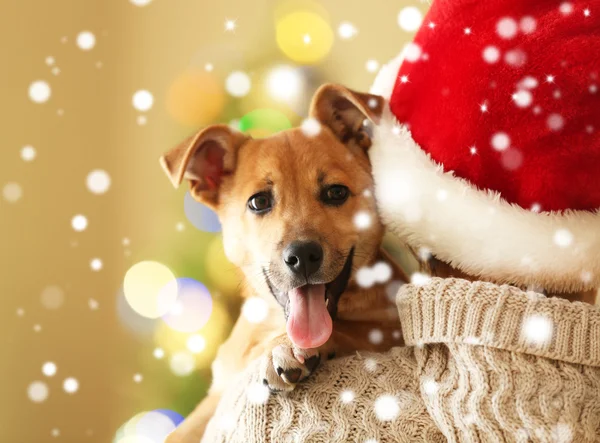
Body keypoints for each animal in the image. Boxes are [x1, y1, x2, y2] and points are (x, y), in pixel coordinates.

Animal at [159, 85, 408, 442]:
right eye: (259, 201)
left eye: (336, 192)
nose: (302, 256)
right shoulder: (214, 399)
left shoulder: (393, 330)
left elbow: (351, 330)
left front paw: (286, 348)